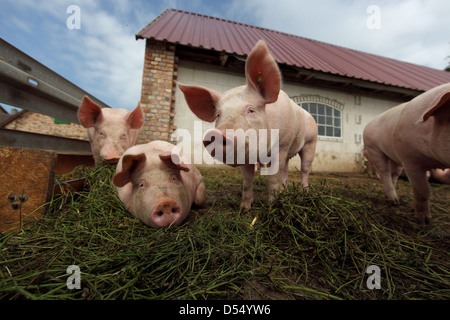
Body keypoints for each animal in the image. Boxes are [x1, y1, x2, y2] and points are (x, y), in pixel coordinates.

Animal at [178, 40, 318, 210]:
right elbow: (247, 180)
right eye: (218, 114)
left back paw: (305, 193)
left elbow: (273, 179)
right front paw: (244, 208)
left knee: (305, 169)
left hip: (310, 142)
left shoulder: (281, 147)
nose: (216, 134)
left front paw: (272, 206)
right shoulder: (246, 154)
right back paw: (285, 193)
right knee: (286, 170)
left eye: (250, 110)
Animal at [364, 82, 450, 222]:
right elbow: (422, 190)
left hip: (394, 156)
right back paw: (394, 202)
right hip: (373, 149)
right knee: (384, 172)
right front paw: (424, 220)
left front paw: (415, 211)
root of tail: (368, 124)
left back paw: (395, 199)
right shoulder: (410, 158)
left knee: (394, 174)